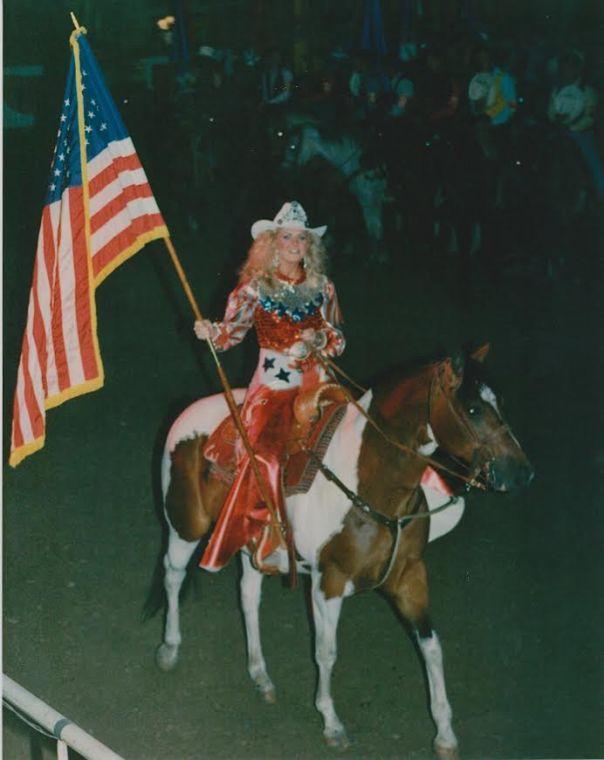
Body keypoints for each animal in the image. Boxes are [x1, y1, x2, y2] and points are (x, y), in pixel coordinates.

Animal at [157, 348, 532, 756]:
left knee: (248, 596)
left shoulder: (410, 575)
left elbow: (432, 647)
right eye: (474, 409)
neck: (369, 482)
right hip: (185, 526)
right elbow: (326, 651)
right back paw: (170, 649)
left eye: (500, 402)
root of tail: (189, 413)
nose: (521, 473)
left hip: (247, 543)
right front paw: (332, 723)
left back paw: (261, 675)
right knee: (173, 575)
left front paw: (445, 734)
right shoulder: (329, 581)